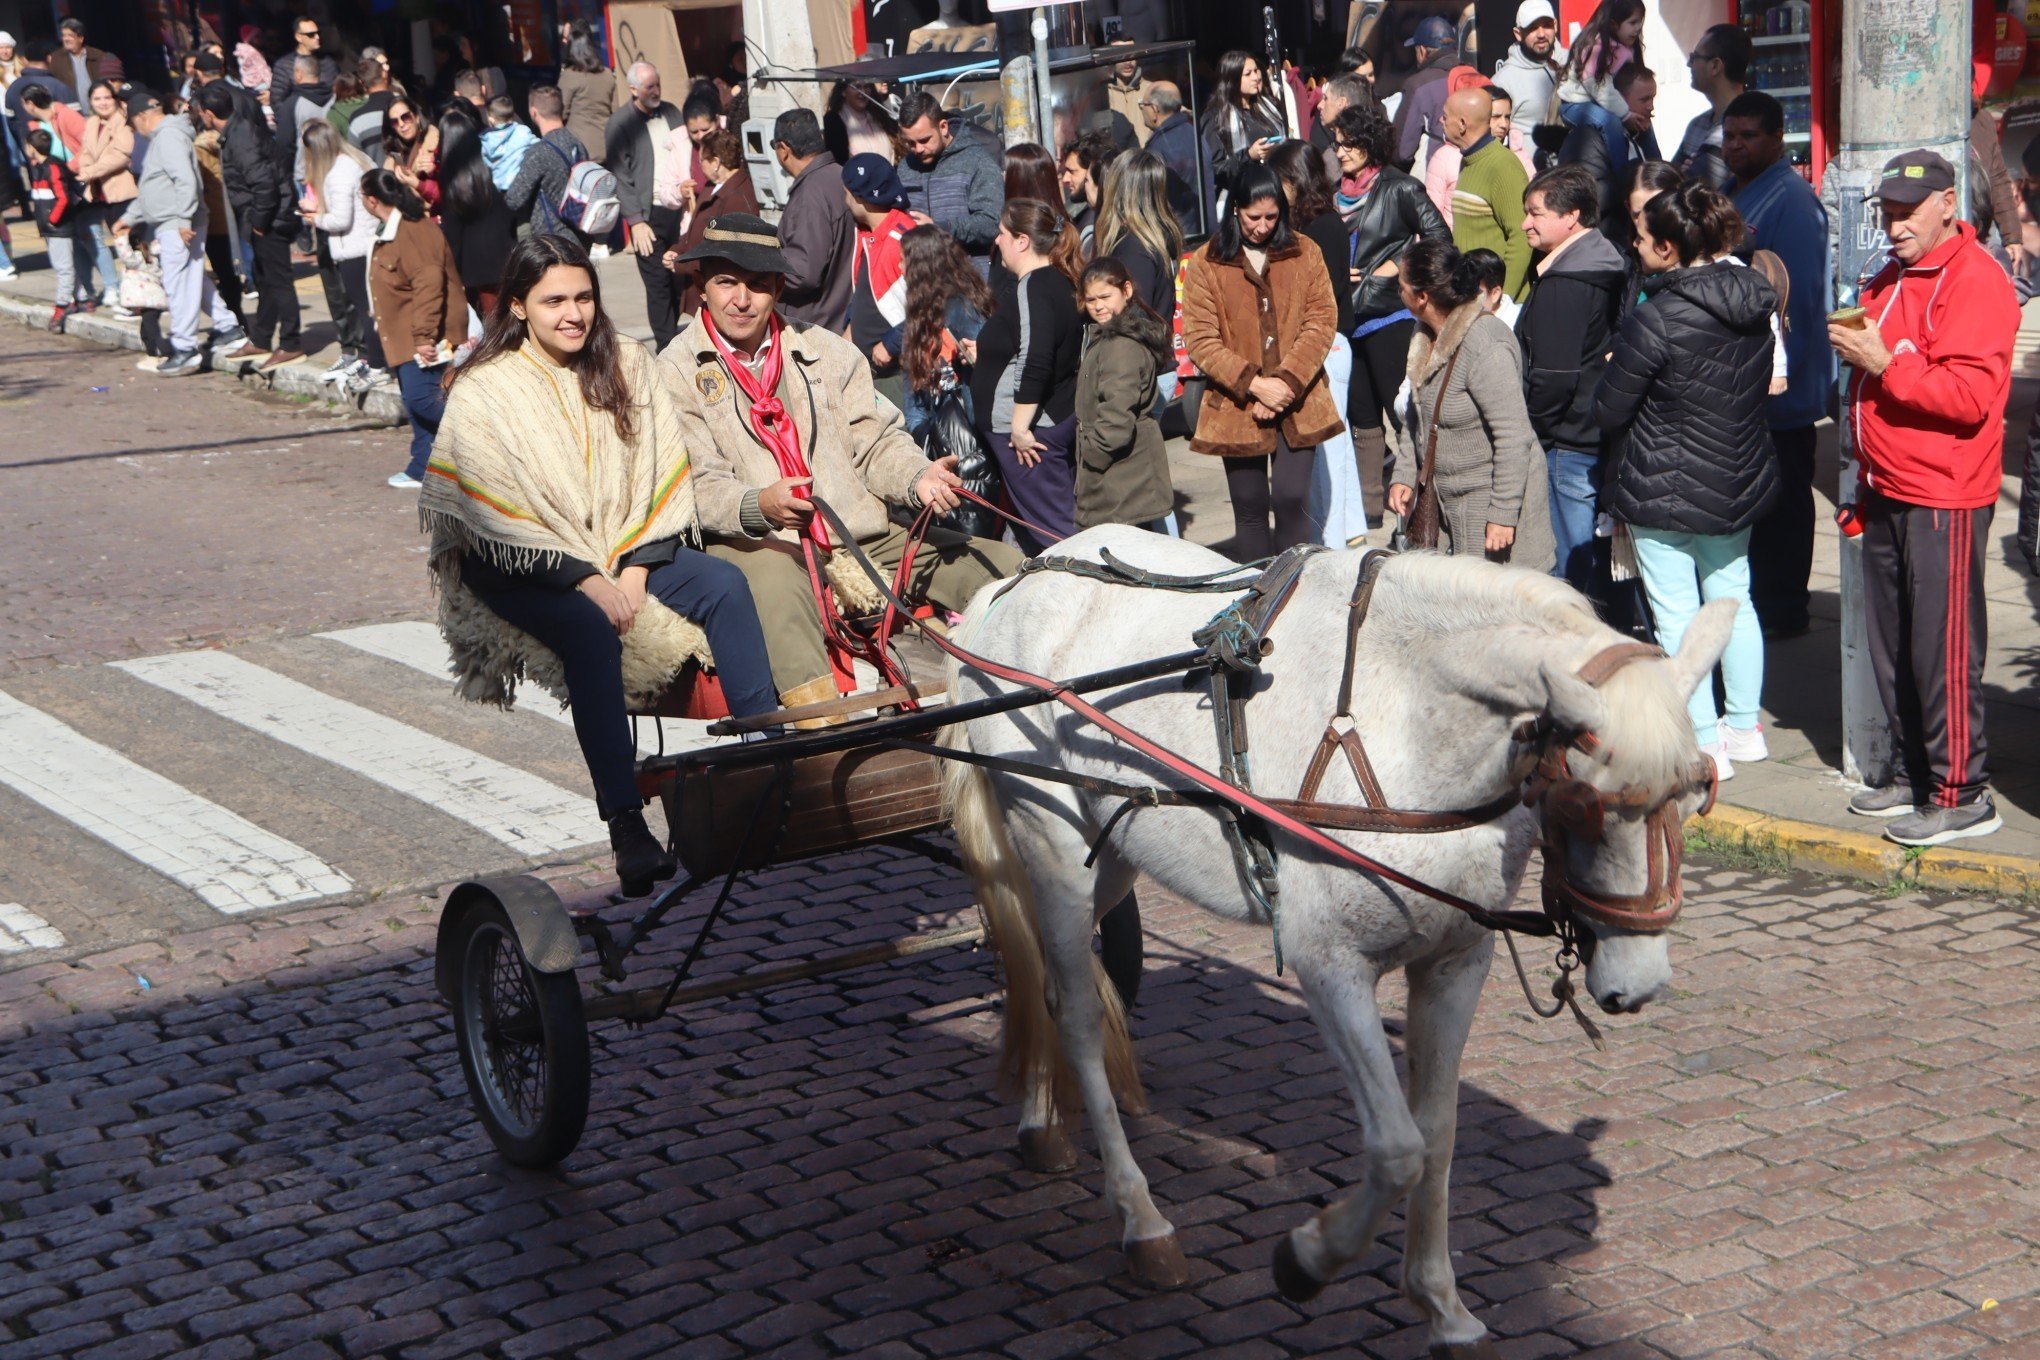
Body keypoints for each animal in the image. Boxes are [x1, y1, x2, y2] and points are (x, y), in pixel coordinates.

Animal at [934, 526, 1721, 1353]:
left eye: (1696, 793)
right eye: (1581, 806)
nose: (1639, 985)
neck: (1406, 713)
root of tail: (1010, 586)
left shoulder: (1454, 962)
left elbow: (1437, 1133)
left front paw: (1440, 1302)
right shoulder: (1330, 966)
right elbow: (1399, 1149)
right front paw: (1311, 1257)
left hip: (1112, 856)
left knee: (1045, 982)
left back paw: (1041, 1120)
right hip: (1050, 844)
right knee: (1078, 1012)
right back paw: (1142, 1220)